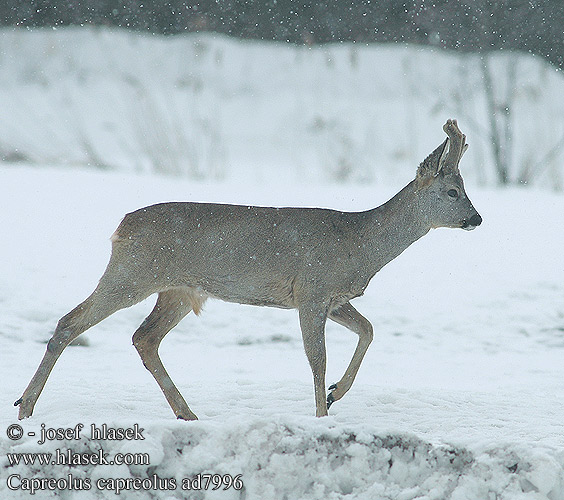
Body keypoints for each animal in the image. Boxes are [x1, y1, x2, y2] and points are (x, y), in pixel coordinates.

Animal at [15, 119, 480, 420]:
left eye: (465, 189)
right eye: (452, 191)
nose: (476, 219)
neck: (360, 245)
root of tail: (120, 227)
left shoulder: (333, 297)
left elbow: (367, 330)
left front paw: (336, 395)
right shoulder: (312, 290)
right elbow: (317, 359)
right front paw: (321, 415)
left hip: (179, 290)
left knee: (144, 338)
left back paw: (187, 414)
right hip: (132, 273)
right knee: (70, 321)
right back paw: (26, 406)